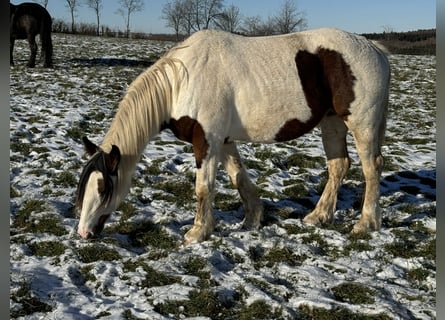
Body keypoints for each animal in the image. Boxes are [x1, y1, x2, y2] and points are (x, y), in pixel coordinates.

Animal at [75, 28, 388, 244]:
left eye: (102, 188)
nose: (83, 233)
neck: (182, 81)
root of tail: (374, 48)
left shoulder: (207, 141)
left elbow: (204, 188)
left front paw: (198, 232)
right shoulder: (222, 141)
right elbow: (239, 177)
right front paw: (252, 220)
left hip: (361, 124)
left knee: (371, 168)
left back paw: (366, 223)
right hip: (331, 122)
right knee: (338, 166)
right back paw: (318, 217)